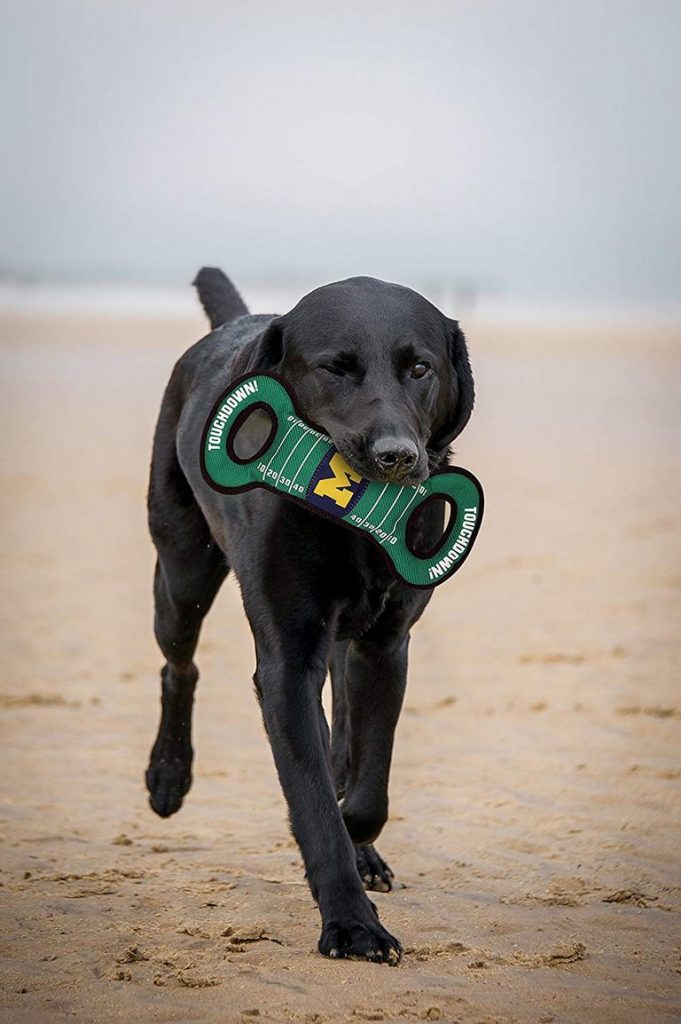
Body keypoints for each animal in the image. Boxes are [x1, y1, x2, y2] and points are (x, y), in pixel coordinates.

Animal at [144, 268, 473, 962]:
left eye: (420, 367)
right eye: (334, 368)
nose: (398, 455)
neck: (354, 523)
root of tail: (236, 323)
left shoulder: (385, 646)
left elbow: (366, 787)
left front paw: (360, 841)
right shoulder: (288, 661)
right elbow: (315, 797)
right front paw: (352, 925)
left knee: (342, 732)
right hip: (182, 574)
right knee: (179, 665)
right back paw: (168, 774)